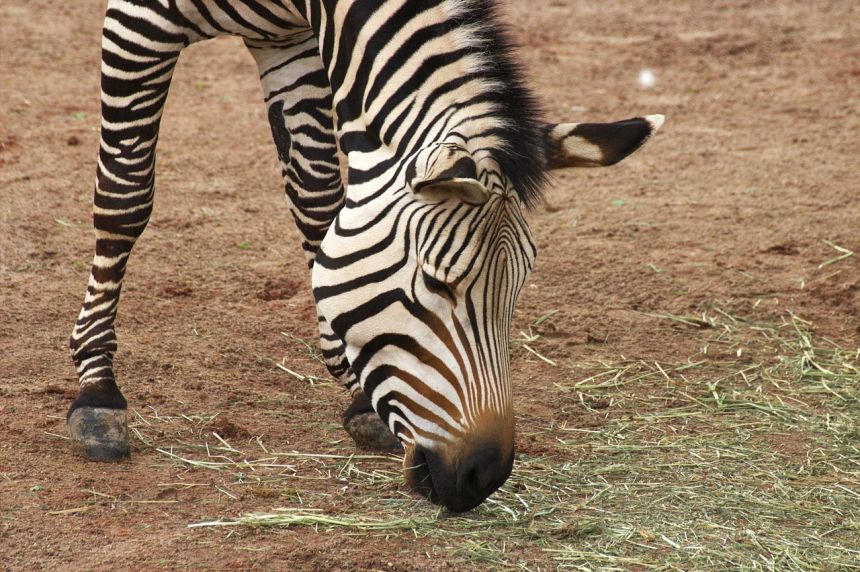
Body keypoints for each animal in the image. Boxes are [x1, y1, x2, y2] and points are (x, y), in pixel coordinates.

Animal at [67, 0, 660, 512]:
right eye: (437, 283)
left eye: (516, 292)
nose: (484, 477)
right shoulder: (141, 19)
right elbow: (125, 194)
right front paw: (97, 389)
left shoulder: (289, 39)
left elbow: (315, 197)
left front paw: (354, 389)